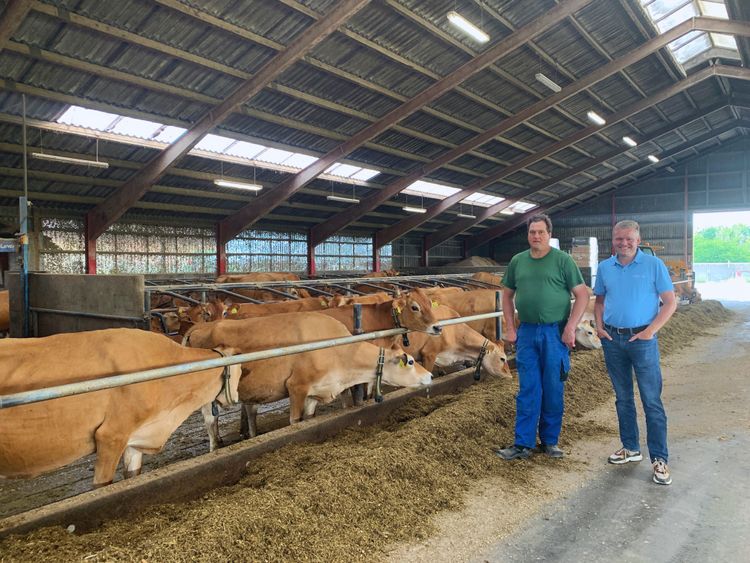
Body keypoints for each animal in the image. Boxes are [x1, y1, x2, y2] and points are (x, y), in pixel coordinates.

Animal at [0, 329, 241, 487]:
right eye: (240, 371)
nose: (236, 398)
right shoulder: (111, 436)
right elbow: (102, 485)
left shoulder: (135, 438)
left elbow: (133, 475)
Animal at [183, 312, 432, 440]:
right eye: (410, 362)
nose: (429, 375)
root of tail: (200, 327)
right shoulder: (297, 387)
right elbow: (295, 421)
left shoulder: (315, 392)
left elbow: (309, 418)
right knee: (210, 422)